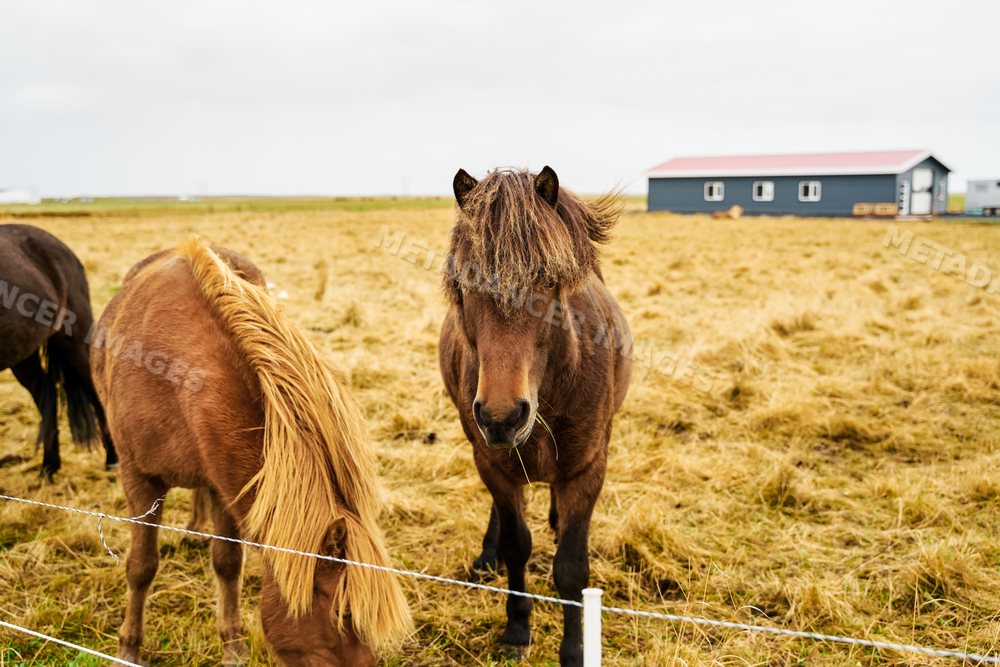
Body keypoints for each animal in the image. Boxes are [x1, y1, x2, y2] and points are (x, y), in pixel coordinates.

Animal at [0, 223, 117, 478]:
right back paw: (49, 466)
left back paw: (112, 459)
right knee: (45, 391)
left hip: (73, 339)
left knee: (91, 388)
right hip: (24, 352)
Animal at [91, 239, 411, 666]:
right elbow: (141, 567)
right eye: (342, 614)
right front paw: (129, 648)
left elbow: (227, 562)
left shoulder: (223, 481)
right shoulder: (138, 478)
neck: (174, 375)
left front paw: (233, 645)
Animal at [439, 167, 632, 665]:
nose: (502, 416)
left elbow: (571, 568)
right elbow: (516, 545)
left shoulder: (587, 470)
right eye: (464, 283)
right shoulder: (493, 464)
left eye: (548, 282)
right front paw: (516, 628)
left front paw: (575, 648)